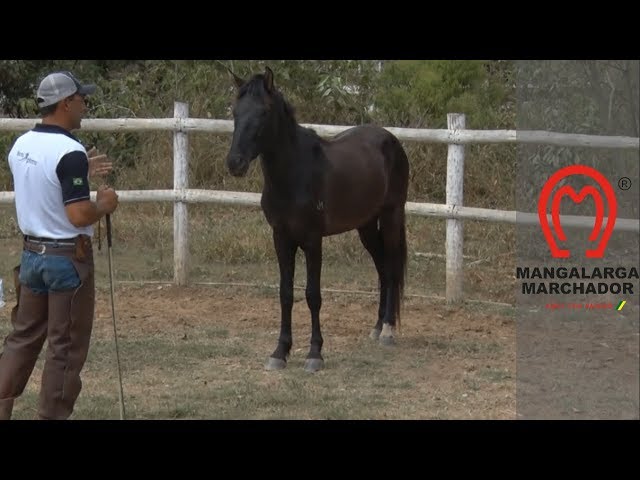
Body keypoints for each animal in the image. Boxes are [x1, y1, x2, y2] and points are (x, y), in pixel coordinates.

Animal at [225, 66, 410, 372]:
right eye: (235, 111)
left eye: (264, 111)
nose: (234, 163)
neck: (294, 174)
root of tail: (390, 139)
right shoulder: (281, 238)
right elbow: (286, 293)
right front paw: (280, 352)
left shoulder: (313, 240)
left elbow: (313, 295)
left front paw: (314, 354)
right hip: (366, 226)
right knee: (382, 269)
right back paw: (375, 328)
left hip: (392, 215)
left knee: (393, 269)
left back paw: (388, 330)